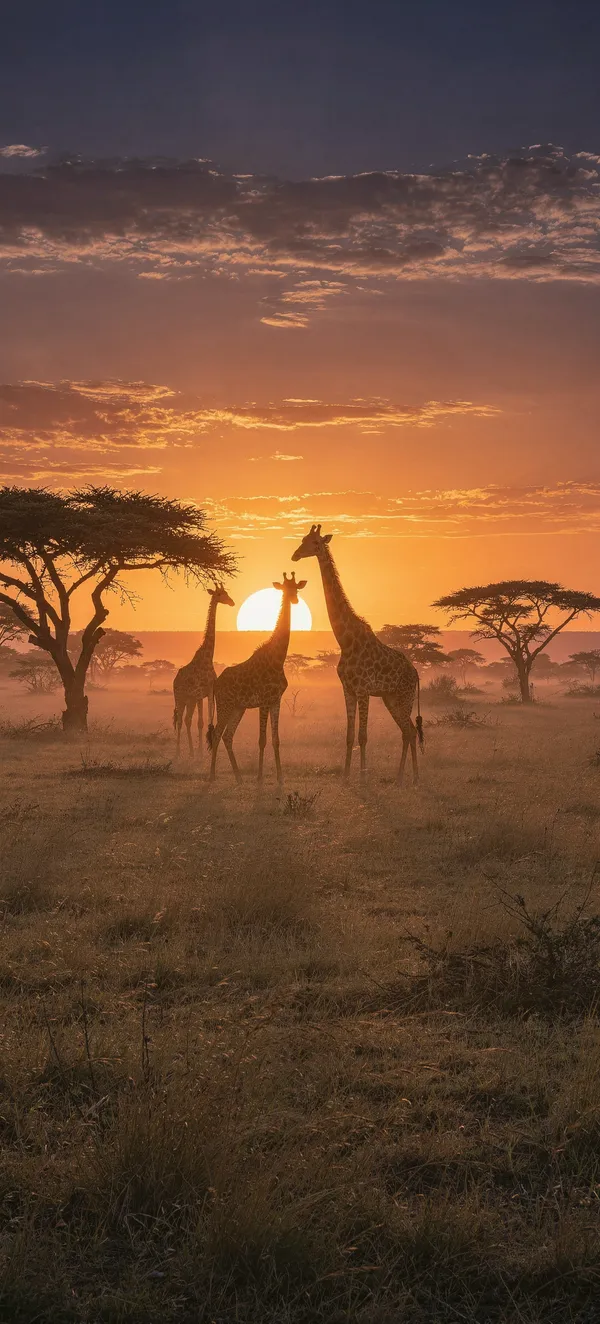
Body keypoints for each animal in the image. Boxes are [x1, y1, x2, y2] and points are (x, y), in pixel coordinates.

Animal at [173, 585, 235, 755]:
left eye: (226, 593)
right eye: (220, 594)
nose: (232, 602)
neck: (207, 659)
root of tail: (174, 680)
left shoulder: (207, 693)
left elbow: (204, 722)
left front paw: (202, 753)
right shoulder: (199, 694)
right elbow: (197, 722)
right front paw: (199, 753)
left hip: (190, 700)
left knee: (186, 720)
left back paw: (191, 752)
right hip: (180, 697)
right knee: (180, 720)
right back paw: (179, 753)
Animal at [207, 572, 306, 783]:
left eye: (297, 588)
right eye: (286, 589)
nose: (294, 599)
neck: (278, 658)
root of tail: (215, 683)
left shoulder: (275, 700)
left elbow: (276, 739)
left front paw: (280, 778)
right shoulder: (264, 701)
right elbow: (262, 740)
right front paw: (260, 778)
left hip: (238, 707)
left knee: (228, 735)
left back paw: (238, 778)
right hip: (225, 705)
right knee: (217, 733)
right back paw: (211, 776)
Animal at [292, 525, 423, 783]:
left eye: (314, 543)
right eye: (302, 539)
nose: (295, 555)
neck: (345, 640)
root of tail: (416, 674)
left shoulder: (363, 689)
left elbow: (363, 736)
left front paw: (363, 779)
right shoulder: (348, 689)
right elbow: (350, 736)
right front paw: (345, 777)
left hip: (405, 696)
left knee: (410, 731)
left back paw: (412, 777)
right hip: (390, 697)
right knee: (408, 731)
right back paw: (402, 777)